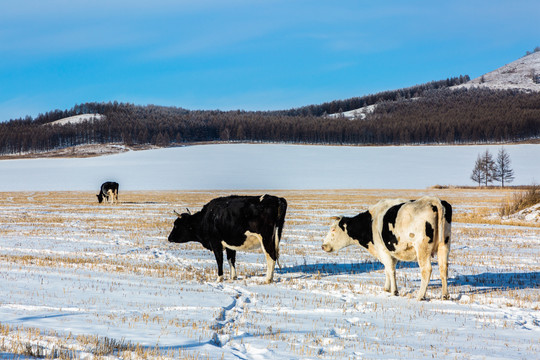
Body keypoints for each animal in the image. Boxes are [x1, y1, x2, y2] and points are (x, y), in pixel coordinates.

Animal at [320, 197, 452, 300]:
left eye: (333, 229)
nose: (323, 246)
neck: (371, 222)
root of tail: (433, 200)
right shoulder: (392, 252)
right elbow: (387, 270)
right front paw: (387, 288)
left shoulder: (383, 250)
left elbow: (390, 270)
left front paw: (394, 291)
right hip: (444, 245)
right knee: (443, 268)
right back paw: (445, 295)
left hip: (422, 248)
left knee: (426, 270)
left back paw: (420, 296)